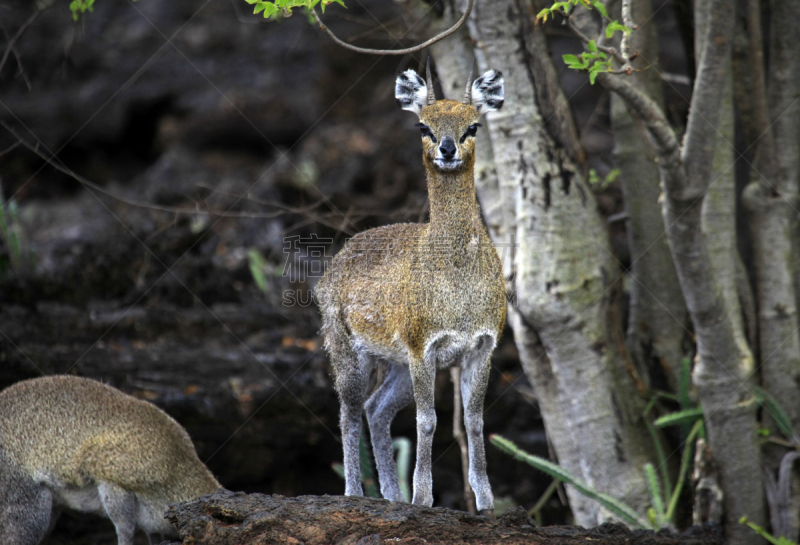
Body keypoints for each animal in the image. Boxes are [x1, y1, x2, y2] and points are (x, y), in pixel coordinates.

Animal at [314, 59, 506, 516]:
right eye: (424, 125)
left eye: (473, 125)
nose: (447, 148)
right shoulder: (424, 346)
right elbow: (428, 420)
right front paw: (423, 499)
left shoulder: (483, 345)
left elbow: (475, 421)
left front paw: (487, 505)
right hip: (345, 346)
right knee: (350, 410)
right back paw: (354, 492)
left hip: (395, 361)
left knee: (377, 408)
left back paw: (391, 496)